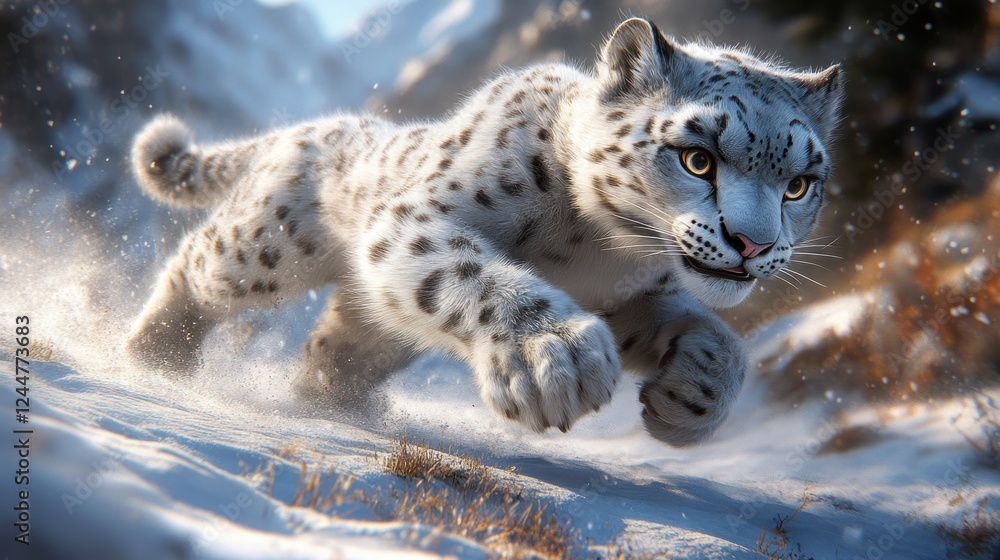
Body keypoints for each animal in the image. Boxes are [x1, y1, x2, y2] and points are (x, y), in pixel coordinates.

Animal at [125, 17, 843, 446]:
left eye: (799, 184)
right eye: (698, 158)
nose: (754, 244)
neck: (604, 250)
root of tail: (313, 126)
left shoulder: (630, 297)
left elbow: (719, 335)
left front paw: (692, 398)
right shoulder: (419, 218)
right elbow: (472, 271)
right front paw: (552, 358)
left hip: (374, 334)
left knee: (333, 350)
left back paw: (329, 407)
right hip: (267, 247)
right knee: (194, 265)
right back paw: (153, 356)